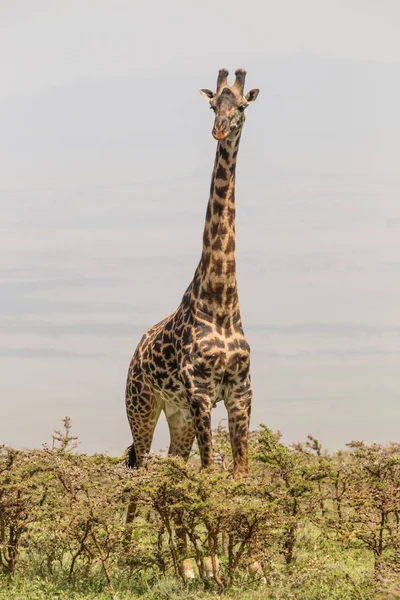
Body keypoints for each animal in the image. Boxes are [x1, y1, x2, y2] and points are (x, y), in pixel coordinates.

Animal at [126, 68, 260, 480]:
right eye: (213, 105)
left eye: (242, 105)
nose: (219, 130)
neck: (221, 302)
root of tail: (135, 353)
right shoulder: (200, 391)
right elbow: (211, 472)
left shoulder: (240, 391)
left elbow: (240, 473)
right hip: (141, 404)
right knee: (140, 467)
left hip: (177, 413)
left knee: (173, 461)